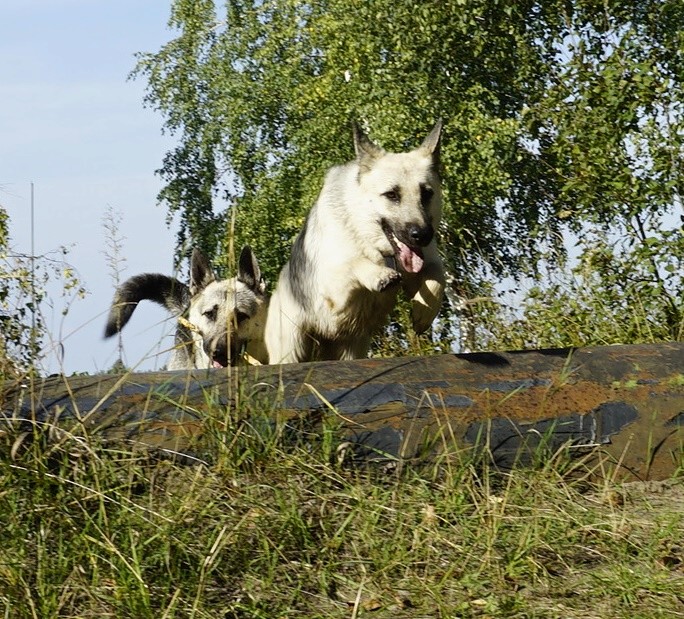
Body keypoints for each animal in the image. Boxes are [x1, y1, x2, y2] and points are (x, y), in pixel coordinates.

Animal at [264, 121, 446, 364]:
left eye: (426, 194)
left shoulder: (427, 264)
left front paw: (424, 312)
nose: (422, 235)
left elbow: (437, 277)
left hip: (352, 349)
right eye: (392, 195)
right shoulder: (333, 290)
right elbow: (353, 263)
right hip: (291, 349)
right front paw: (379, 276)